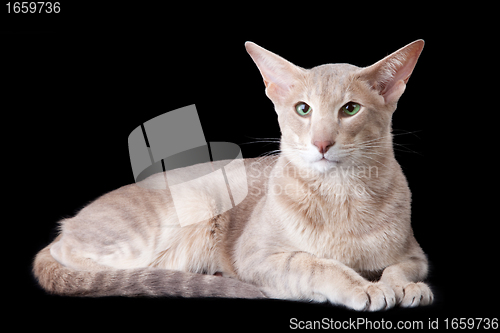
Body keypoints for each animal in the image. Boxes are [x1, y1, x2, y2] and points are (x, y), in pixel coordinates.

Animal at [32, 40, 434, 310]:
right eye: (303, 109)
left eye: (350, 109)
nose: (321, 142)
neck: (343, 196)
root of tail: (69, 222)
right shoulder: (256, 257)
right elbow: (315, 264)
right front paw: (362, 286)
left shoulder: (416, 255)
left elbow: (401, 269)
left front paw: (405, 287)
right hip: (190, 205)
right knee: (71, 254)